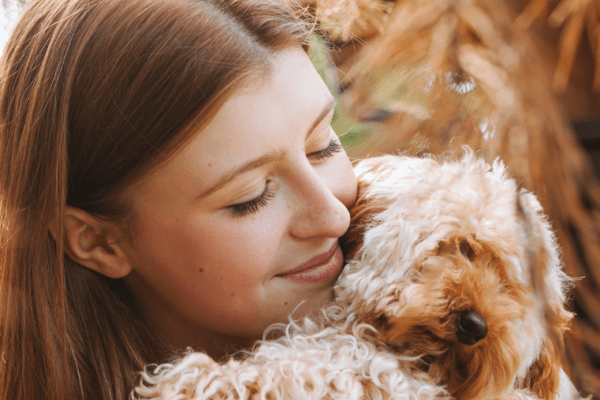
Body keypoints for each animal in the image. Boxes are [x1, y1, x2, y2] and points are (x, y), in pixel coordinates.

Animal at [135, 151, 572, 400]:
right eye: (463, 246)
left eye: (514, 290)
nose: (476, 325)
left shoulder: (373, 378)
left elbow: (296, 373)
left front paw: (195, 380)